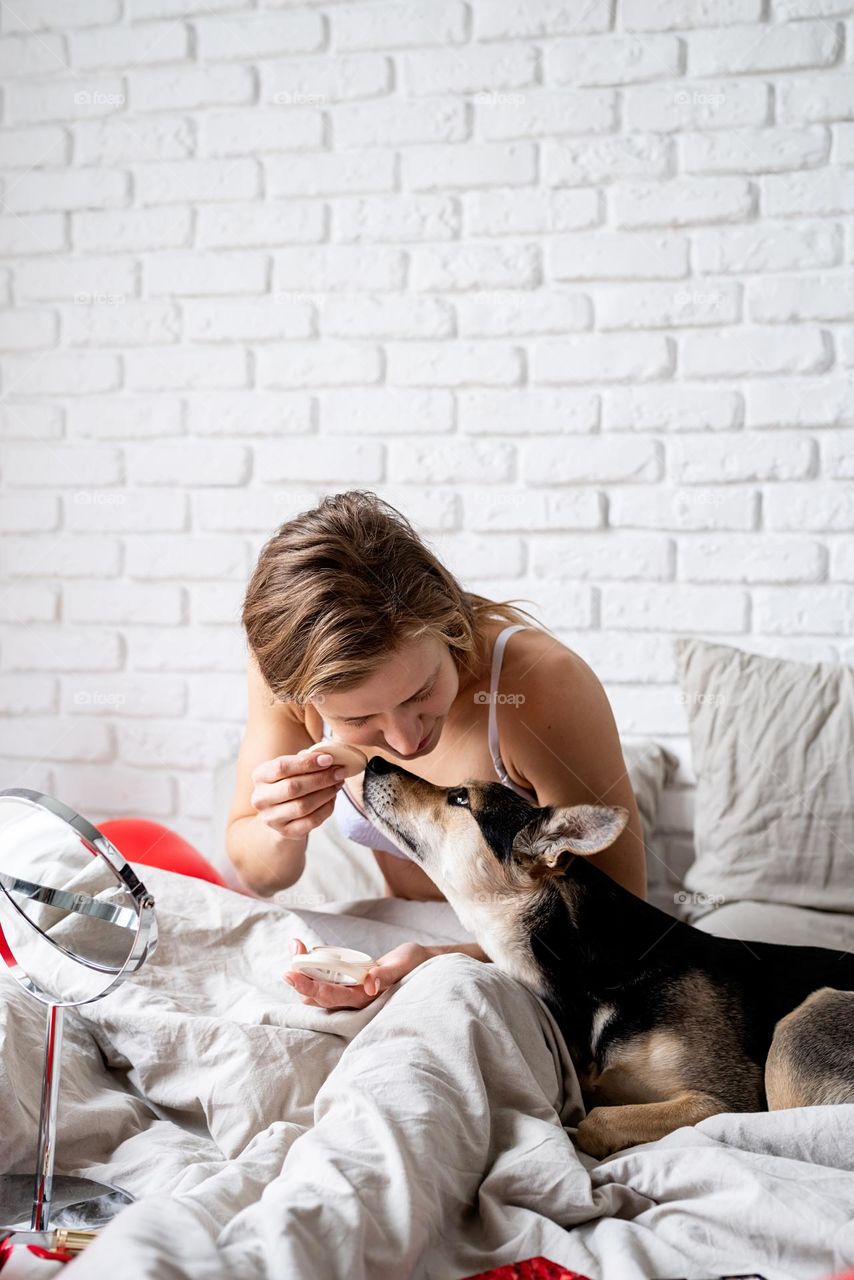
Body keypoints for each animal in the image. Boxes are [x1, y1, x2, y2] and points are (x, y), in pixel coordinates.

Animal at [361, 747, 854, 1162]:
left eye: (460, 797)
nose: (374, 761)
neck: (591, 973)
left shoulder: (725, 1101)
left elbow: (595, 1122)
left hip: (806, 1021)